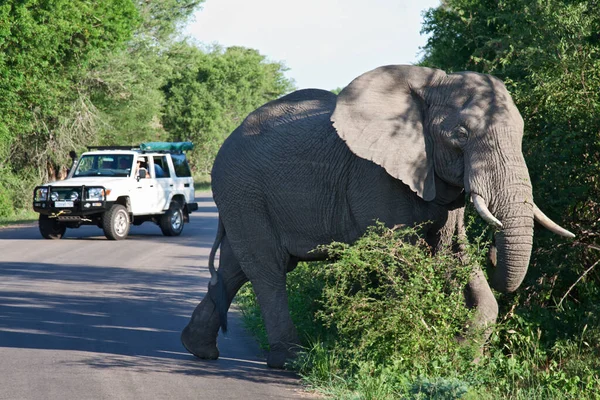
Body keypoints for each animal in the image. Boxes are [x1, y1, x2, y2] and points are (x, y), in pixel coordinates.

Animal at [180, 64, 576, 368]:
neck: (429, 87)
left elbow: (453, 256)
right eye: (461, 135)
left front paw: (466, 363)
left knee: (235, 268)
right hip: (243, 191)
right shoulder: (372, 176)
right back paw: (292, 360)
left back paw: (198, 349)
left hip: (243, 199)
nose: (493, 251)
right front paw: (414, 356)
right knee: (267, 268)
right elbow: (399, 260)